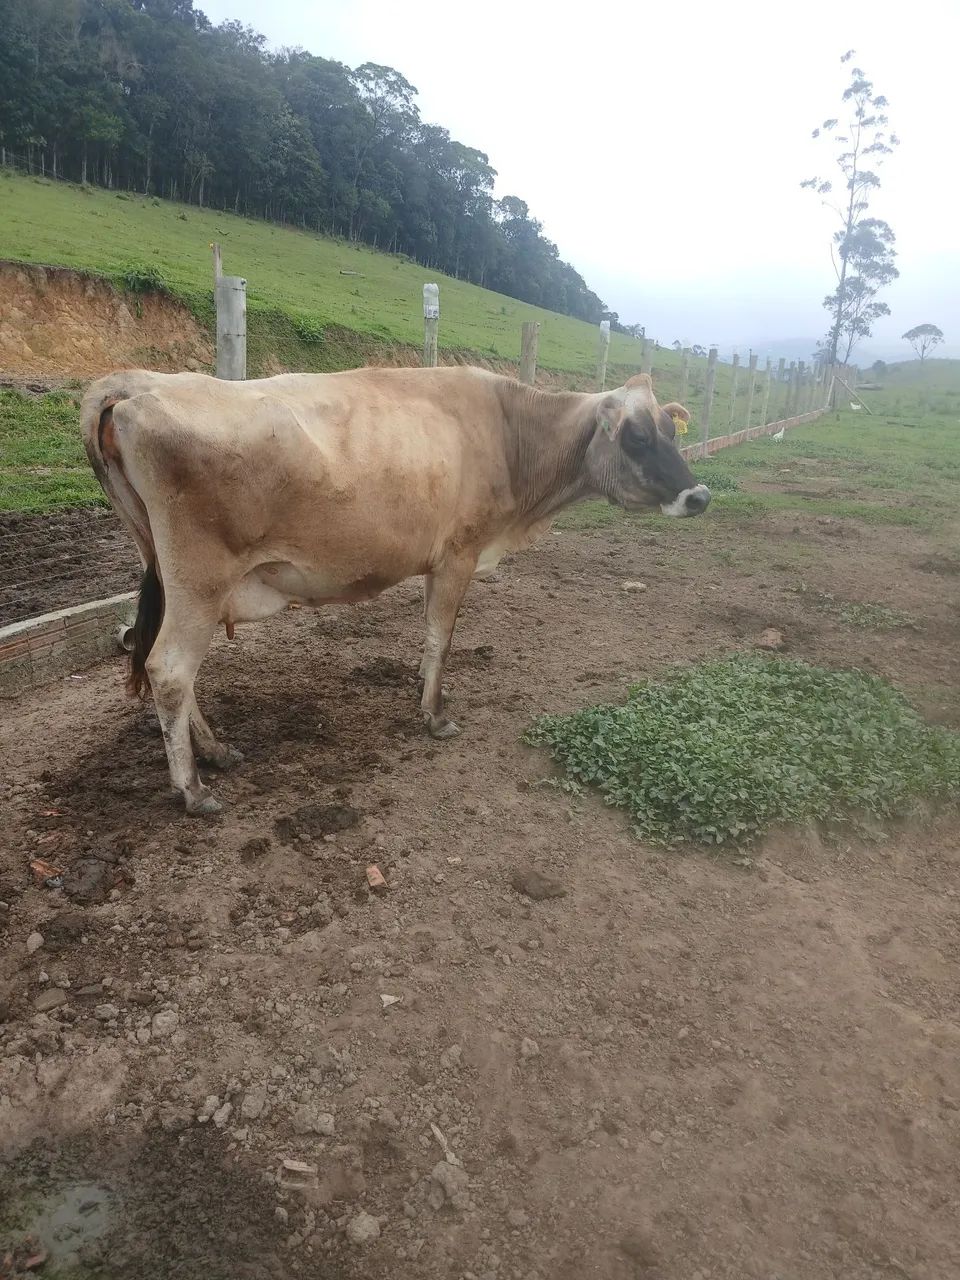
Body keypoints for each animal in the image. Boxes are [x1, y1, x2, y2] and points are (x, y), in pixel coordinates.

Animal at [81, 366, 710, 815]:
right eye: (635, 436)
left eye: (671, 430)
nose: (699, 496)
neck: (509, 436)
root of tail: (138, 385)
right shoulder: (458, 554)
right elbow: (441, 637)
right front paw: (433, 715)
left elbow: (431, 636)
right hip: (200, 579)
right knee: (169, 669)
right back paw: (193, 789)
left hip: (169, 573)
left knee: (170, 666)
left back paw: (215, 752)